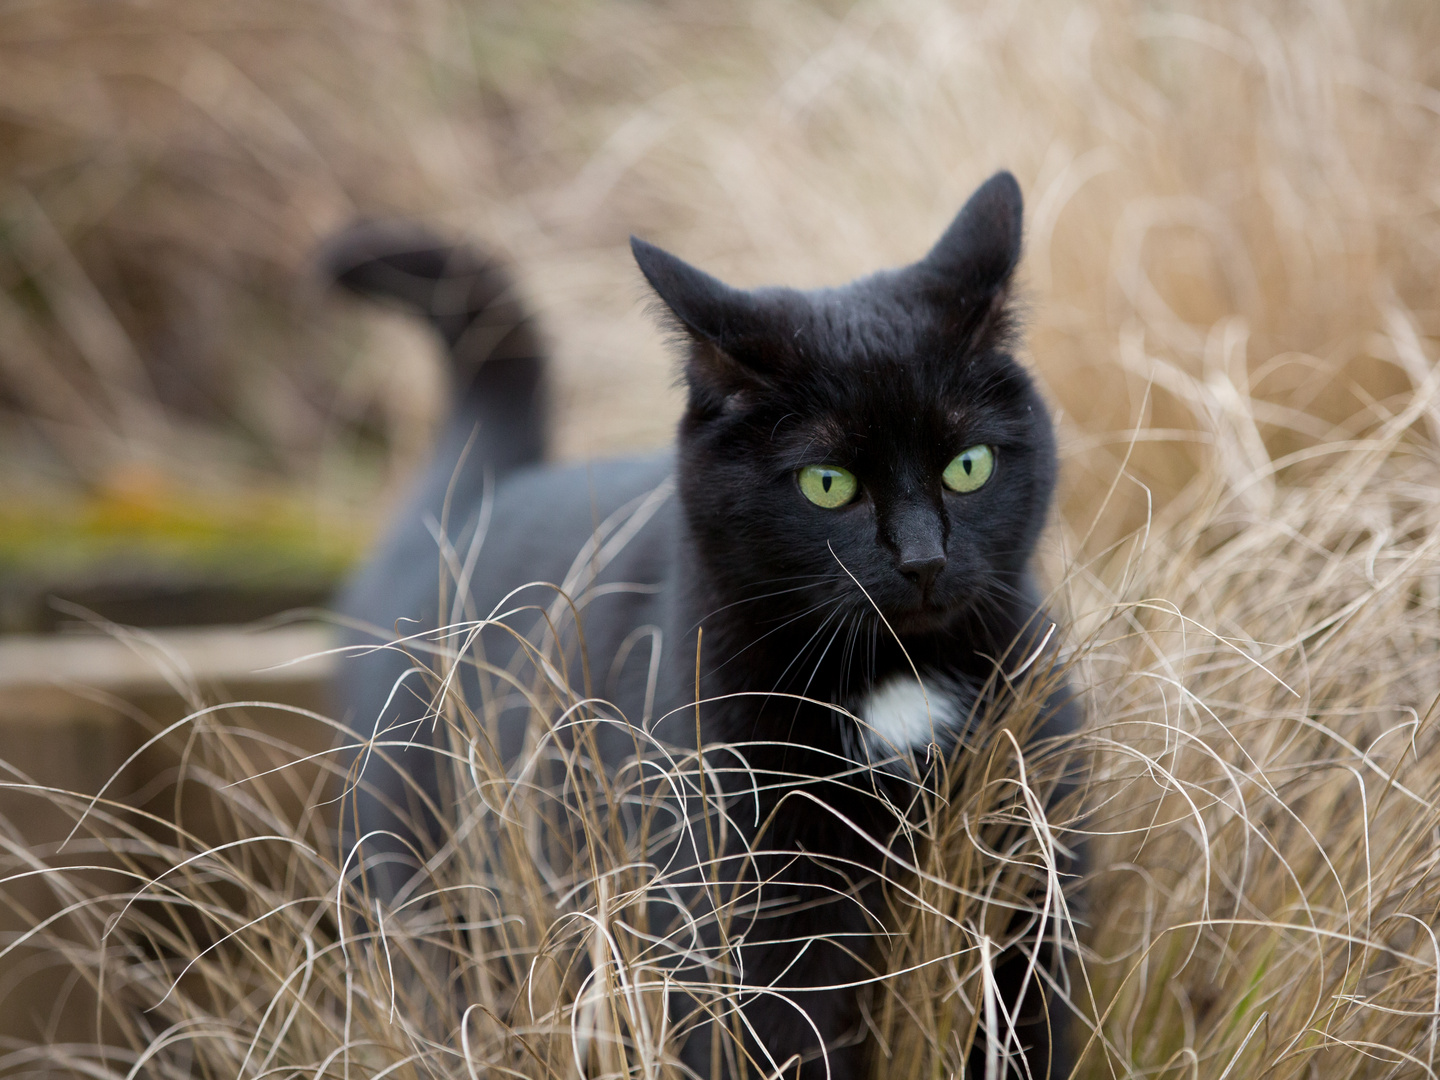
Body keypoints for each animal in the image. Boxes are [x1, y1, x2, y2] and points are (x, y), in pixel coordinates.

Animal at [321, 173, 1077, 1077]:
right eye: (827, 483)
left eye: (968, 466)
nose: (924, 560)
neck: (895, 686)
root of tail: (466, 508)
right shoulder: (748, 921)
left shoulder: (1029, 877)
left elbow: (1028, 1036)